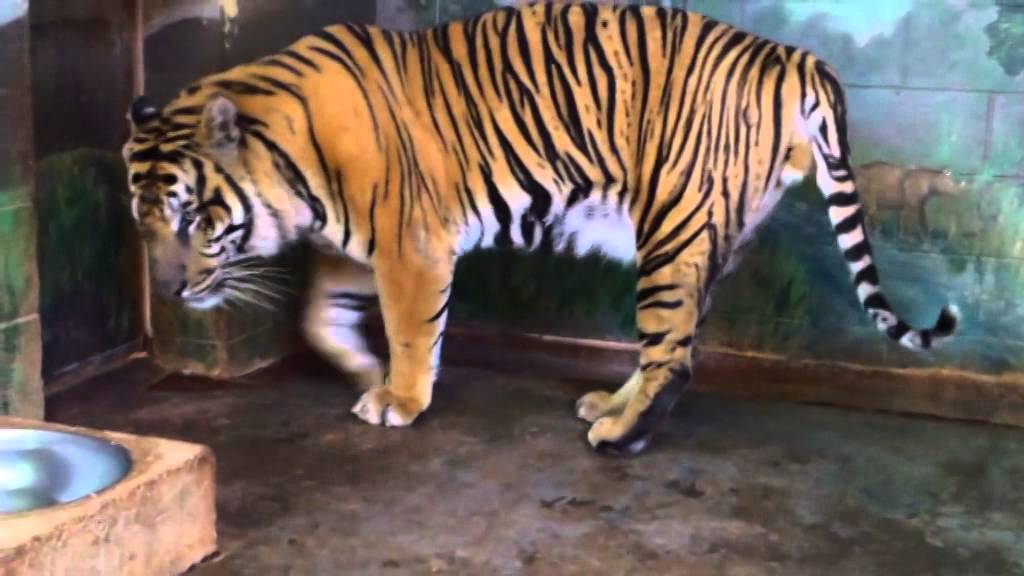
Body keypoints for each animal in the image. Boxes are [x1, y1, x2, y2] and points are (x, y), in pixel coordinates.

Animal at [122, 2, 958, 456]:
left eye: (192, 216)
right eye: (143, 221)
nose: (166, 290)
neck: (292, 167)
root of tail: (791, 55)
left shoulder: (410, 246)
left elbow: (411, 330)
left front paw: (401, 397)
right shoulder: (353, 248)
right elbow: (318, 319)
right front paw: (364, 373)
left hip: (672, 226)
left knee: (675, 359)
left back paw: (620, 437)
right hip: (703, 241)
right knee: (671, 343)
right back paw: (609, 408)